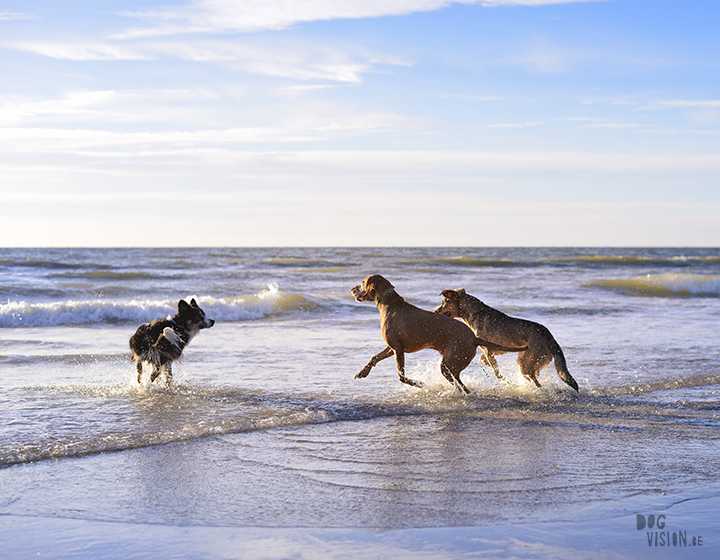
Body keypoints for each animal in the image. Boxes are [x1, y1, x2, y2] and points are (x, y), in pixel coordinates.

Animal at [350, 276, 524, 394]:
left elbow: (402, 377)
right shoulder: (393, 347)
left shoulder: (398, 350)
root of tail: (474, 338)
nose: (351, 289)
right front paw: (363, 371)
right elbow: (374, 357)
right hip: (452, 363)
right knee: (460, 383)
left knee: (461, 386)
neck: (390, 304)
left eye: (362, 282)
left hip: (448, 363)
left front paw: (420, 384)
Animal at [434, 290, 580, 392]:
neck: (473, 312)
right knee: (534, 376)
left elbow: (496, 372)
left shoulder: (488, 349)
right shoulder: (494, 349)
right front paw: (487, 364)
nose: (434, 312)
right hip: (530, 362)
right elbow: (484, 360)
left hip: (524, 363)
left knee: (535, 381)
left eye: (443, 303)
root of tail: (550, 337)